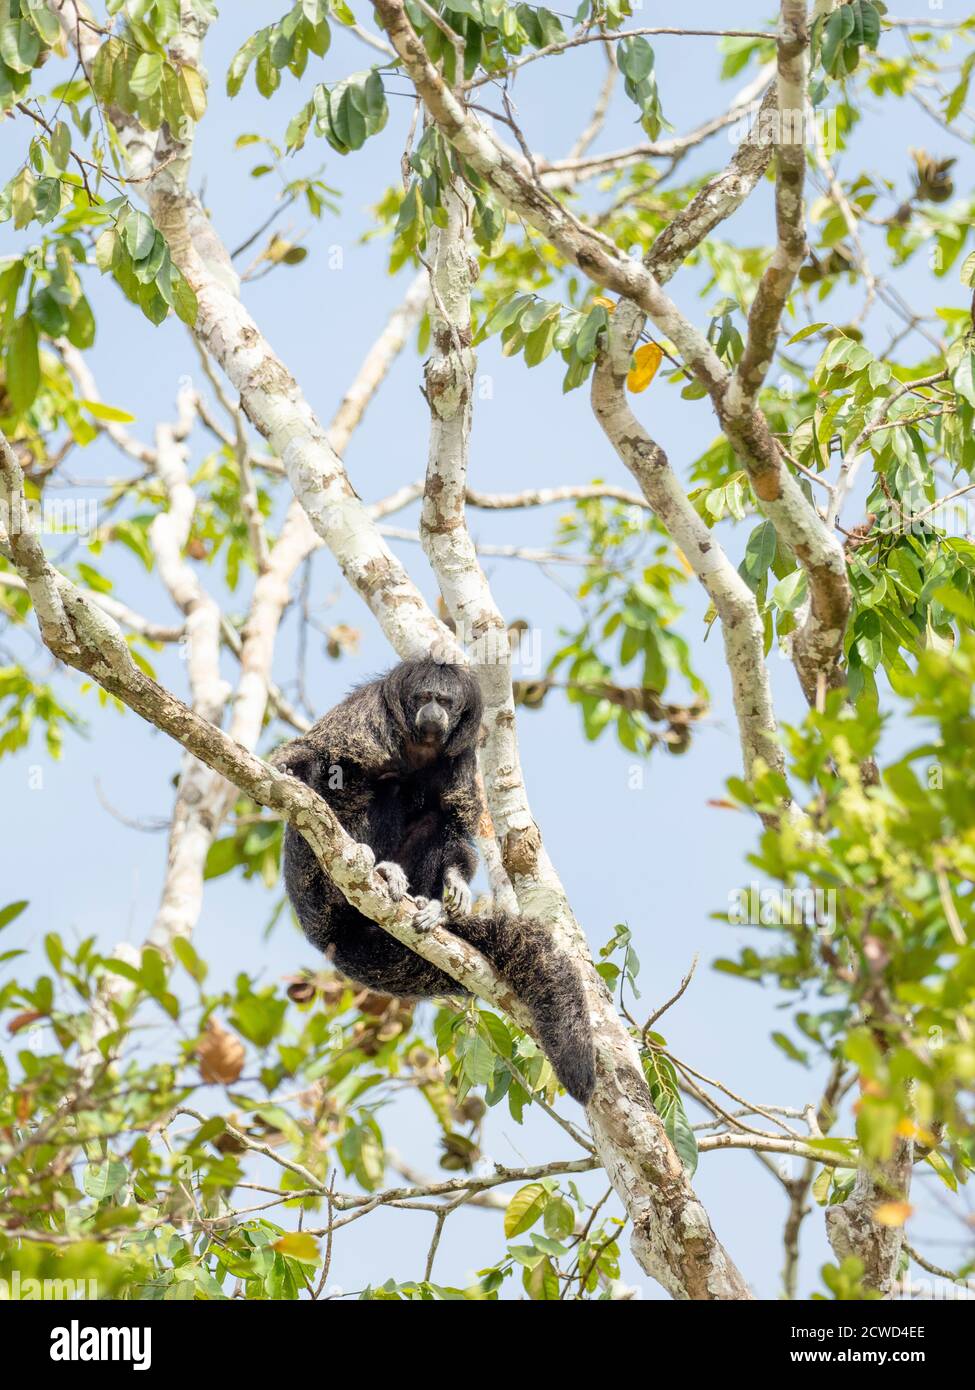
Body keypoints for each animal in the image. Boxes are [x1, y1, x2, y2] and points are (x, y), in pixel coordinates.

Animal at [269, 658, 598, 1106]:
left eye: (445, 700)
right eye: (424, 696)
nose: (433, 712)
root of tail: (329, 937)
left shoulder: (461, 759)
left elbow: (454, 823)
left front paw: (454, 883)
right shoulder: (365, 718)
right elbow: (319, 757)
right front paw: (289, 765)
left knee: (430, 815)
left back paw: (429, 904)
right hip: (314, 880)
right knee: (362, 783)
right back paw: (370, 867)